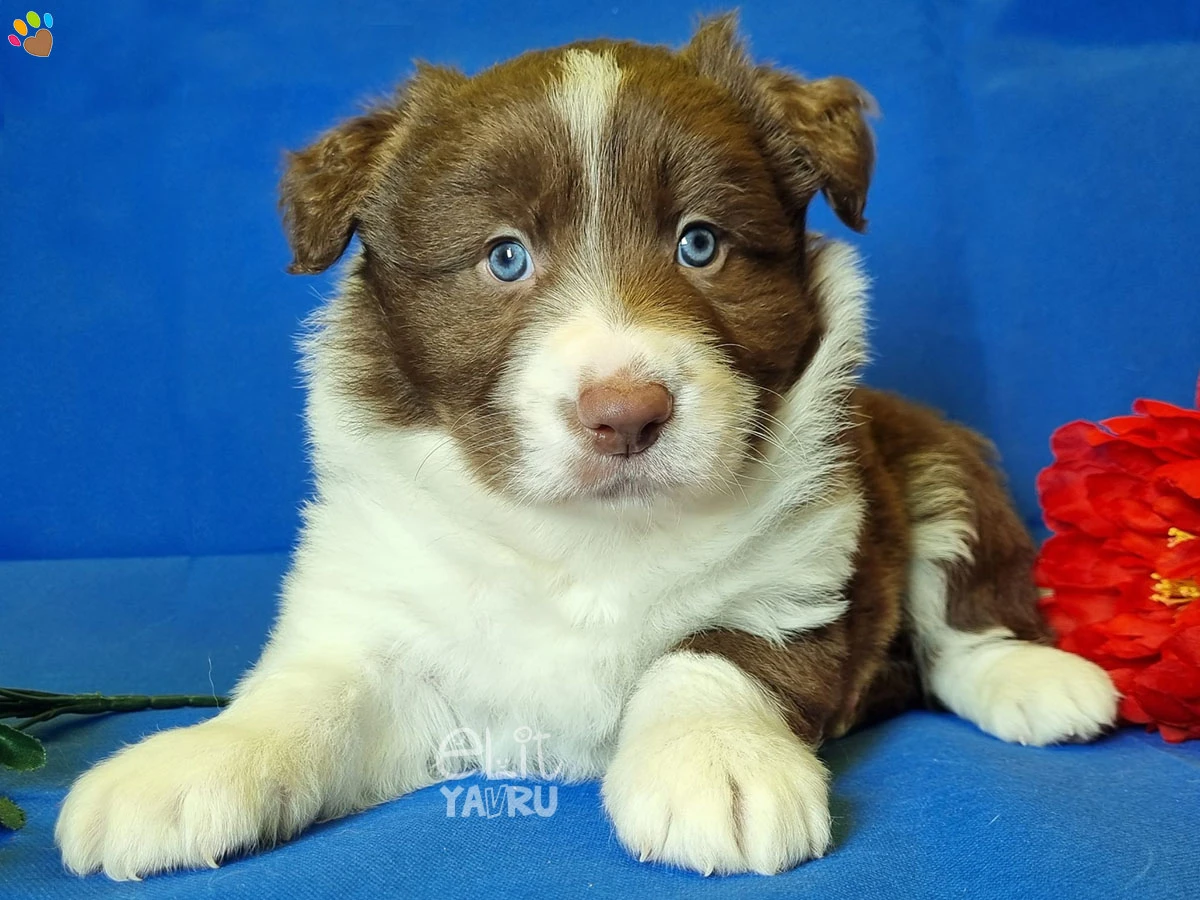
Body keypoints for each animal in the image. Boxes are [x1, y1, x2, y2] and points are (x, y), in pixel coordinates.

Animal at [54, 14, 1113, 883]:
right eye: (504, 257)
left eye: (700, 244)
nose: (626, 413)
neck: (587, 536)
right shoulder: (393, 633)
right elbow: (310, 697)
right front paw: (188, 764)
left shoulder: (799, 583)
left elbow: (713, 652)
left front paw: (714, 763)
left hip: (934, 454)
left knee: (962, 610)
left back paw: (1040, 682)